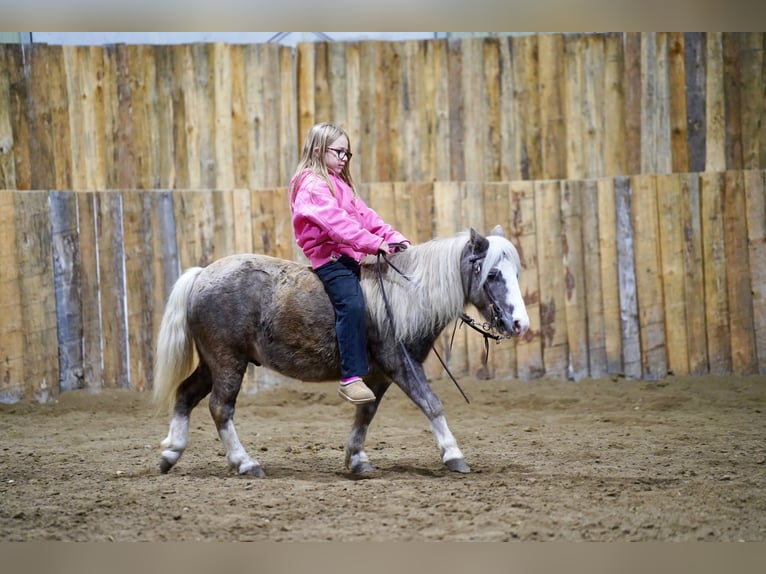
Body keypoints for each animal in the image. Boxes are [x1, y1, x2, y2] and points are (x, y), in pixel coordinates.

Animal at [152, 225, 529, 477]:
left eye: (515, 272)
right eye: (492, 273)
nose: (520, 324)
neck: (407, 296)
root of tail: (202, 274)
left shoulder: (378, 376)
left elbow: (366, 414)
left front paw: (357, 459)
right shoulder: (402, 365)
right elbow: (431, 404)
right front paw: (453, 455)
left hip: (212, 362)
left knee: (186, 395)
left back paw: (171, 453)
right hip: (227, 361)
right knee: (221, 407)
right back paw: (245, 463)